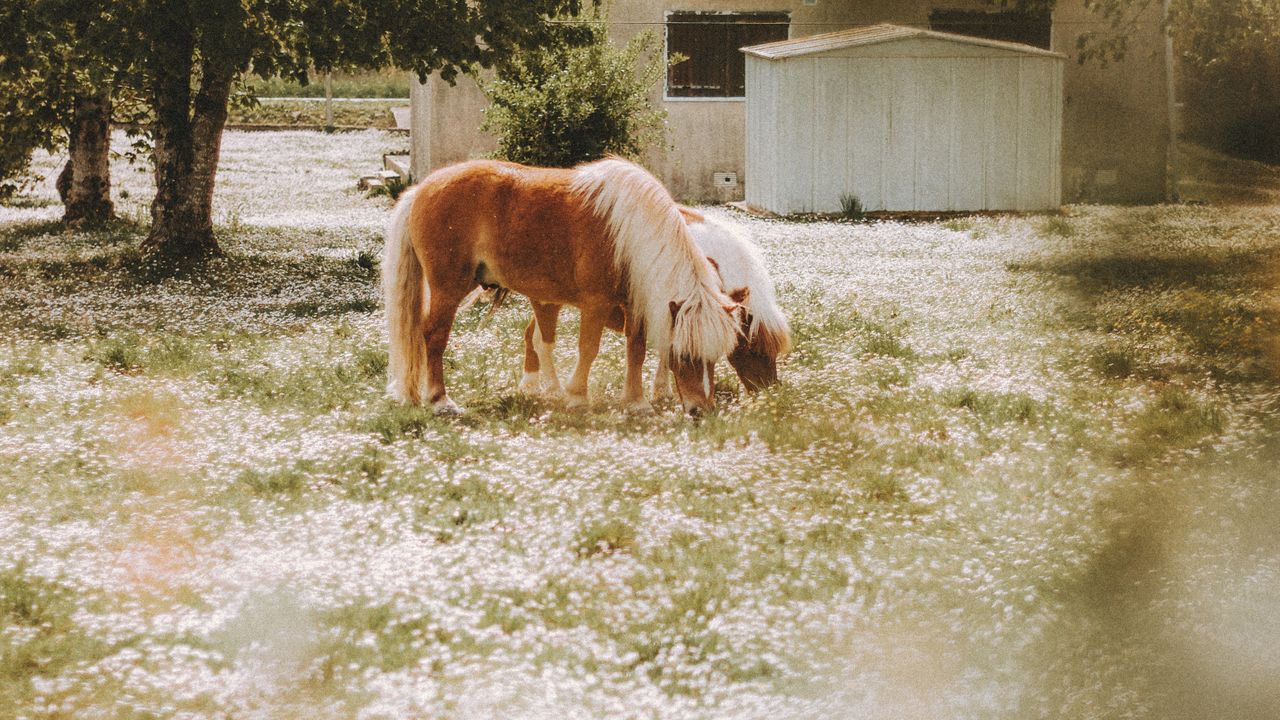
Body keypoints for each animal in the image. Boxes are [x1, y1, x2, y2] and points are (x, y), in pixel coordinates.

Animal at [382, 157, 742, 416]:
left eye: (714, 358)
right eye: (684, 354)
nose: (701, 410)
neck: (628, 231)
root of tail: (422, 189)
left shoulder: (634, 305)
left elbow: (636, 351)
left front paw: (636, 401)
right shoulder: (596, 303)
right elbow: (589, 349)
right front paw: (577, 396)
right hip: (448, 287)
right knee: (434, 336)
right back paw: (440, 400)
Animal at [515, 208, 792, 406]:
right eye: (754, 349)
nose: (771, 394)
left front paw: (662, 390)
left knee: (532, 335)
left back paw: (531, 386)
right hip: (548, 301)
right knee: (540, 340)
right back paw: (547, 389)